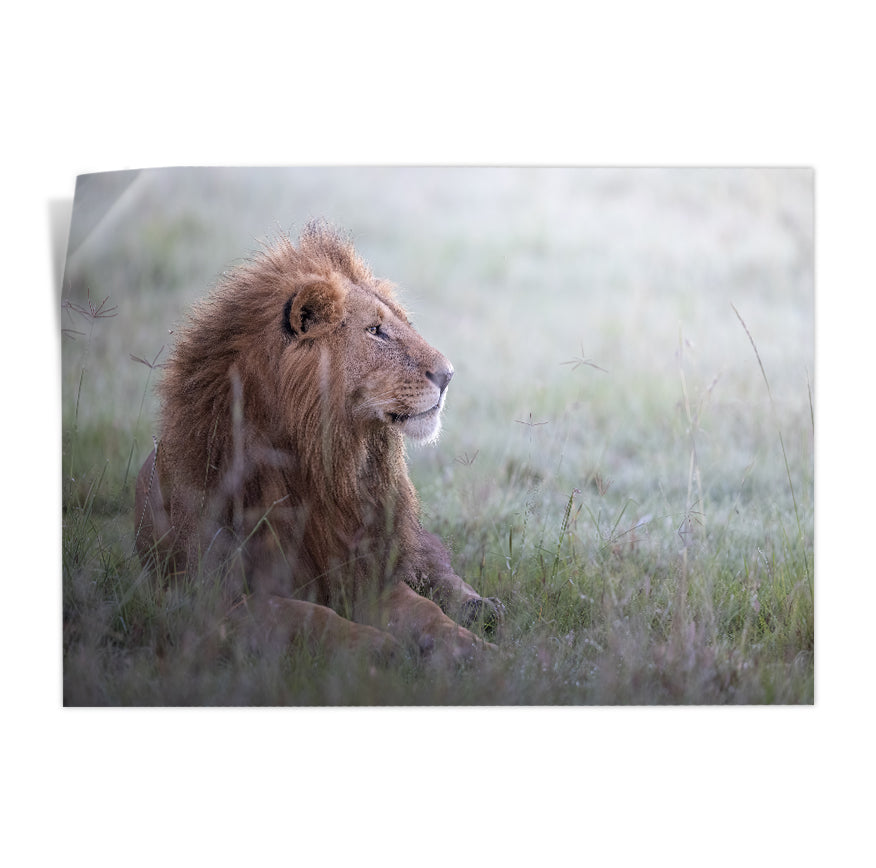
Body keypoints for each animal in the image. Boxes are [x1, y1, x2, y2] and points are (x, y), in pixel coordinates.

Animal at [134, 221, 502, 664]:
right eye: (375, 331)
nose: (448, 375)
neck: (324, 465)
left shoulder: (366, 571)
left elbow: (426, 610)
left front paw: (478, 651)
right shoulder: (214, 600)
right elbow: (308, 614)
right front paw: (379, 647)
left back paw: (482, 608)